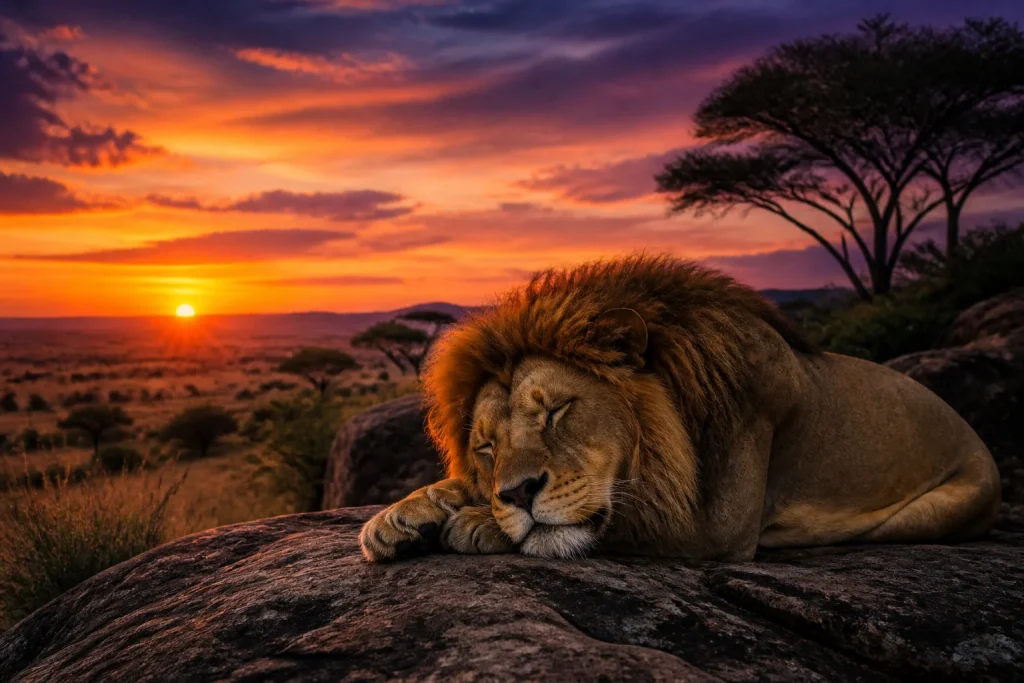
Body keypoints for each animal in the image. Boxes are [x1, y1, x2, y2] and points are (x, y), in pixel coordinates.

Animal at [360, 254, 1001, 562]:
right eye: (487, 447)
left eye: (557, 411)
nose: (516, 494)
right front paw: (402, 517)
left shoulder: (714, 526)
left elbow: (612, 522)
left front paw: (477, 522)